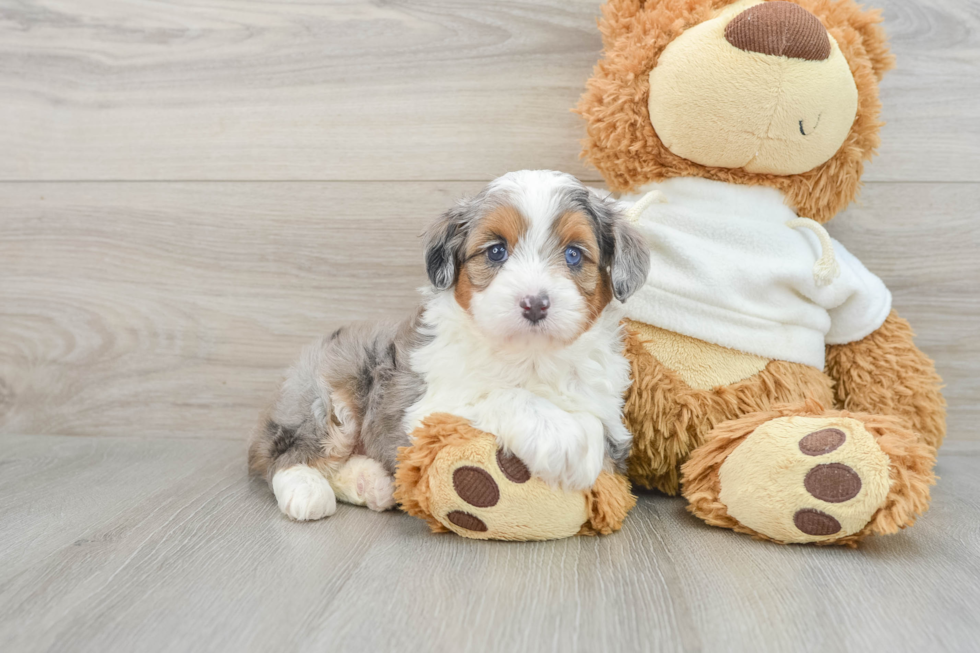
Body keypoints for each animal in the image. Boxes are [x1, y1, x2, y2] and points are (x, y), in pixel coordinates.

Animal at [249, 171, 652, 524]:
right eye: (496, 251)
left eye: (573, 255)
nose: (535, 304)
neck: (530, 356)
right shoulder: (423, 412)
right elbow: (496, 394)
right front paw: (561, 438)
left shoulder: (607, 407)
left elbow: (595, 425)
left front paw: (580, 446)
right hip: (329, 392)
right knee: (283, 452)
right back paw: (306, 490)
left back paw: (371, 483)